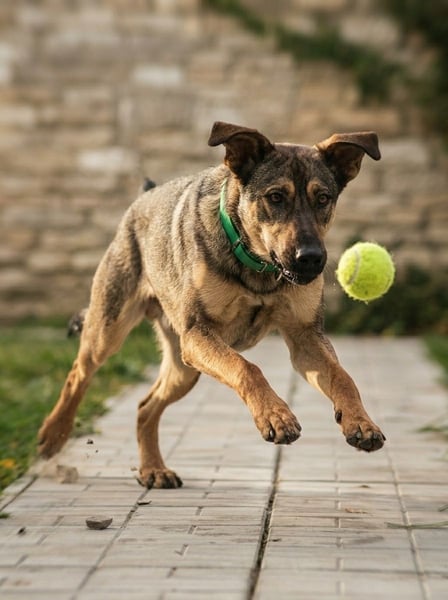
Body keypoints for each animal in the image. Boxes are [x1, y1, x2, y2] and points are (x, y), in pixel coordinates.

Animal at [38, 121, 385, 488]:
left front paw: (361, 422)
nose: (311, 259)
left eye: (323, 198)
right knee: (79, 373)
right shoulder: (198, 334)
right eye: (276, 197)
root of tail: (143, 197)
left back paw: (153, 469)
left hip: (184, 367)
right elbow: (248, 368)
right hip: (112, 327)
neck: (259, 267)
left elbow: (342, 377)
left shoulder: (305, 337)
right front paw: (276, 416)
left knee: (145, 406)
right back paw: (54, 435)